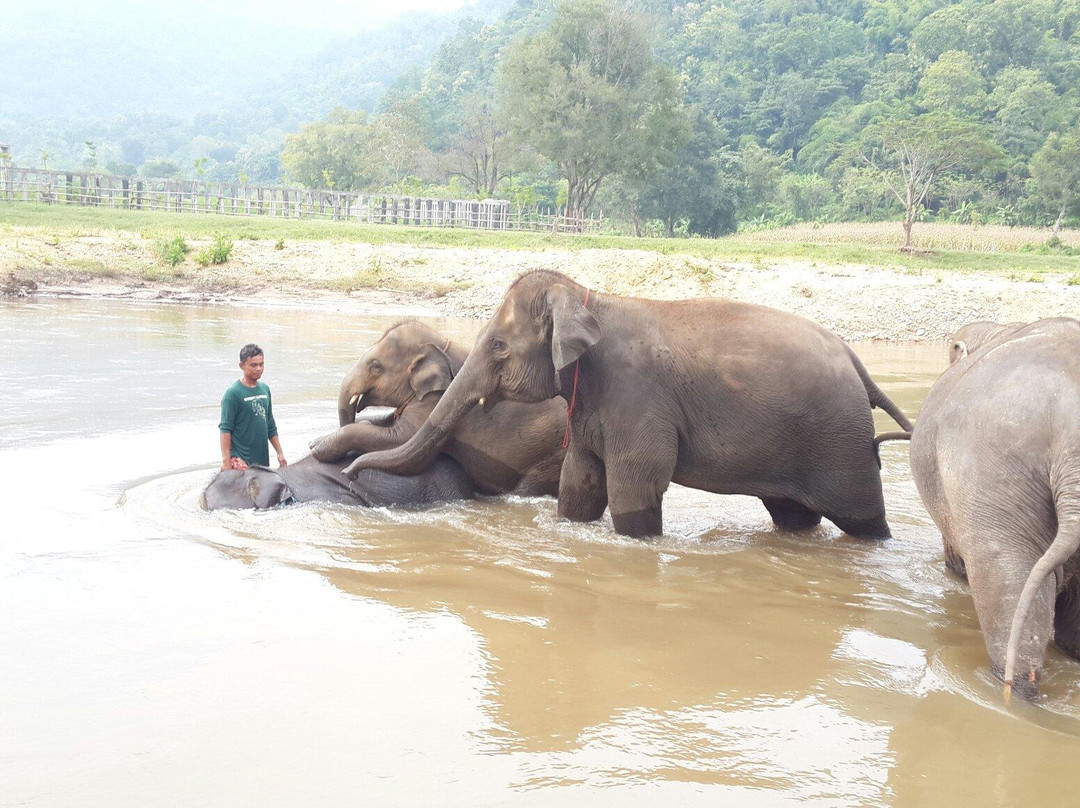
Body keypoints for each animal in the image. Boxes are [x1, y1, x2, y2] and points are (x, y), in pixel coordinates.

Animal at [308, 320, 566, 497]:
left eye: (375, 367)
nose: (348, 475)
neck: (442, 344)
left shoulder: (436, 400)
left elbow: (401, 441)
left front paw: (317, 449)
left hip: (551, 456)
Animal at [344, 270, 914, 539]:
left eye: (499, 346)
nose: (349, 472)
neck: (589, 297)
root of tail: (853, 358)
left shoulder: (637, 398)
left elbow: (635, 482)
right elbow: (580, 481)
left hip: (840, 442)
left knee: (863, 517)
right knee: (795, 516)